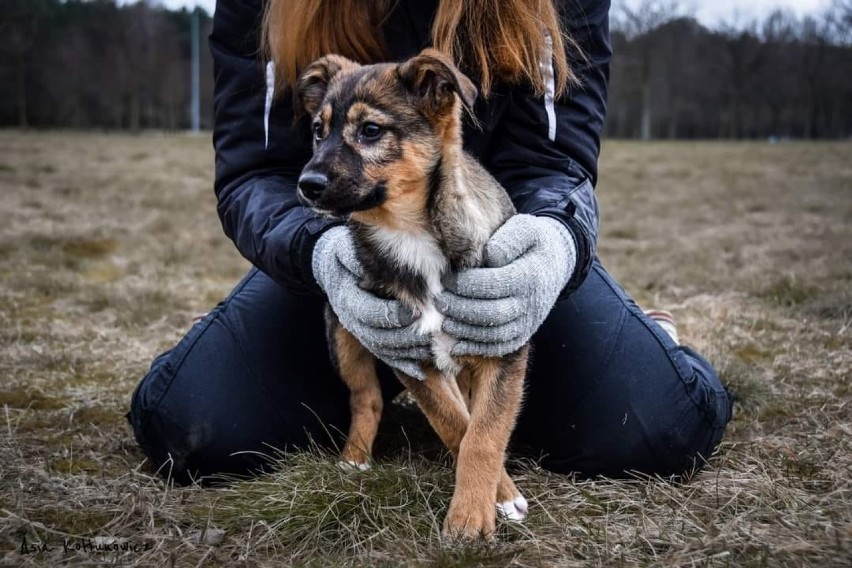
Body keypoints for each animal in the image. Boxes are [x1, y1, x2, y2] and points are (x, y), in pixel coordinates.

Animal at [296, 47, 528, 536]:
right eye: (317, 131)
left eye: (370, 130)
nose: (307, 185)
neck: (409, 234)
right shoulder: (408, 353)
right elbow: (454, 423)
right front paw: (485, 502)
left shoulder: (503, 347)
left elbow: (484, 431)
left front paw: (479, 509)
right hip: (343, 332)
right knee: (366, 398)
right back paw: (354, 459)